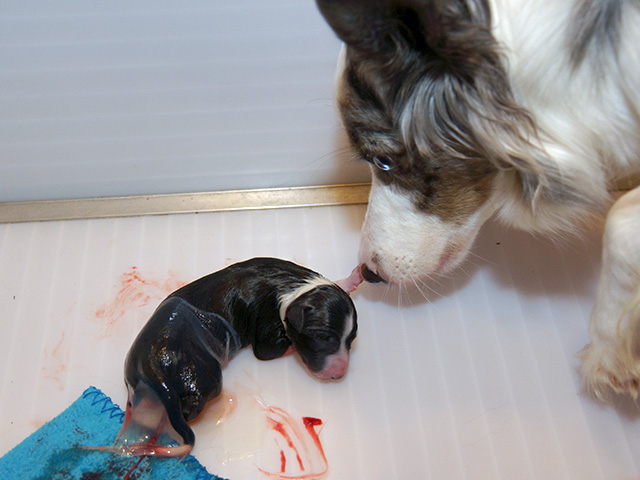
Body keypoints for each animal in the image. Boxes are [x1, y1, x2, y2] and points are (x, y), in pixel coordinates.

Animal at [88, 257, 358, 457]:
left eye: (352, 339)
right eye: (323, 338)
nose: (339, 375)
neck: (296, 290)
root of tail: (154, 362)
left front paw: (351, 280)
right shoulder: (267, 328)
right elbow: (270, 351)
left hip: (139, 384)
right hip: (203, 372)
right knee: (193, 404)